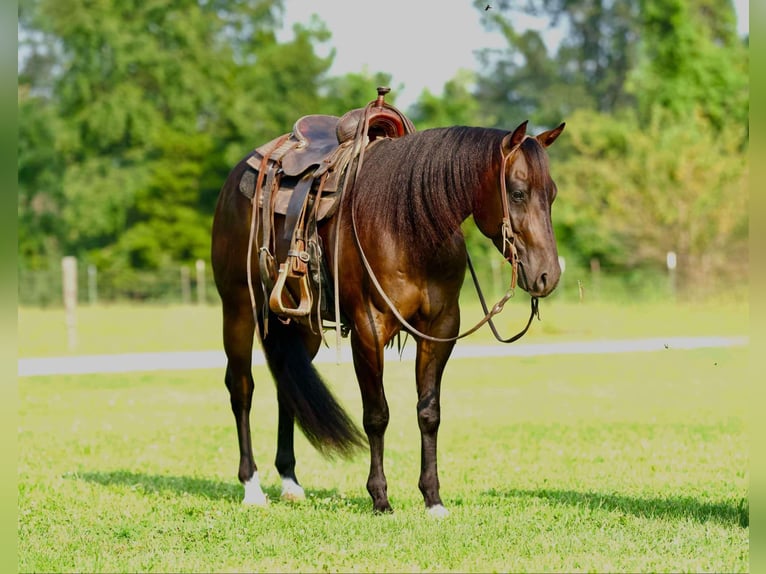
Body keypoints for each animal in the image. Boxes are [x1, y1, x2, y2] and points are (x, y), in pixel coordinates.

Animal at [211, 117, 565, 516]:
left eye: (551, 194)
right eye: (518, 193)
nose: (548, 275)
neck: (407, 227)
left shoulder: (440, 328)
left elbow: (429, 413)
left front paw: (432, 498)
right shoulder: (369, 330)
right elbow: (377, 414)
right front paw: (380, 497)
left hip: (302, 325)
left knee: (288, 386)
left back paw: (290, 483)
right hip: (238, 308)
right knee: (241, 389)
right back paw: (252, 487)